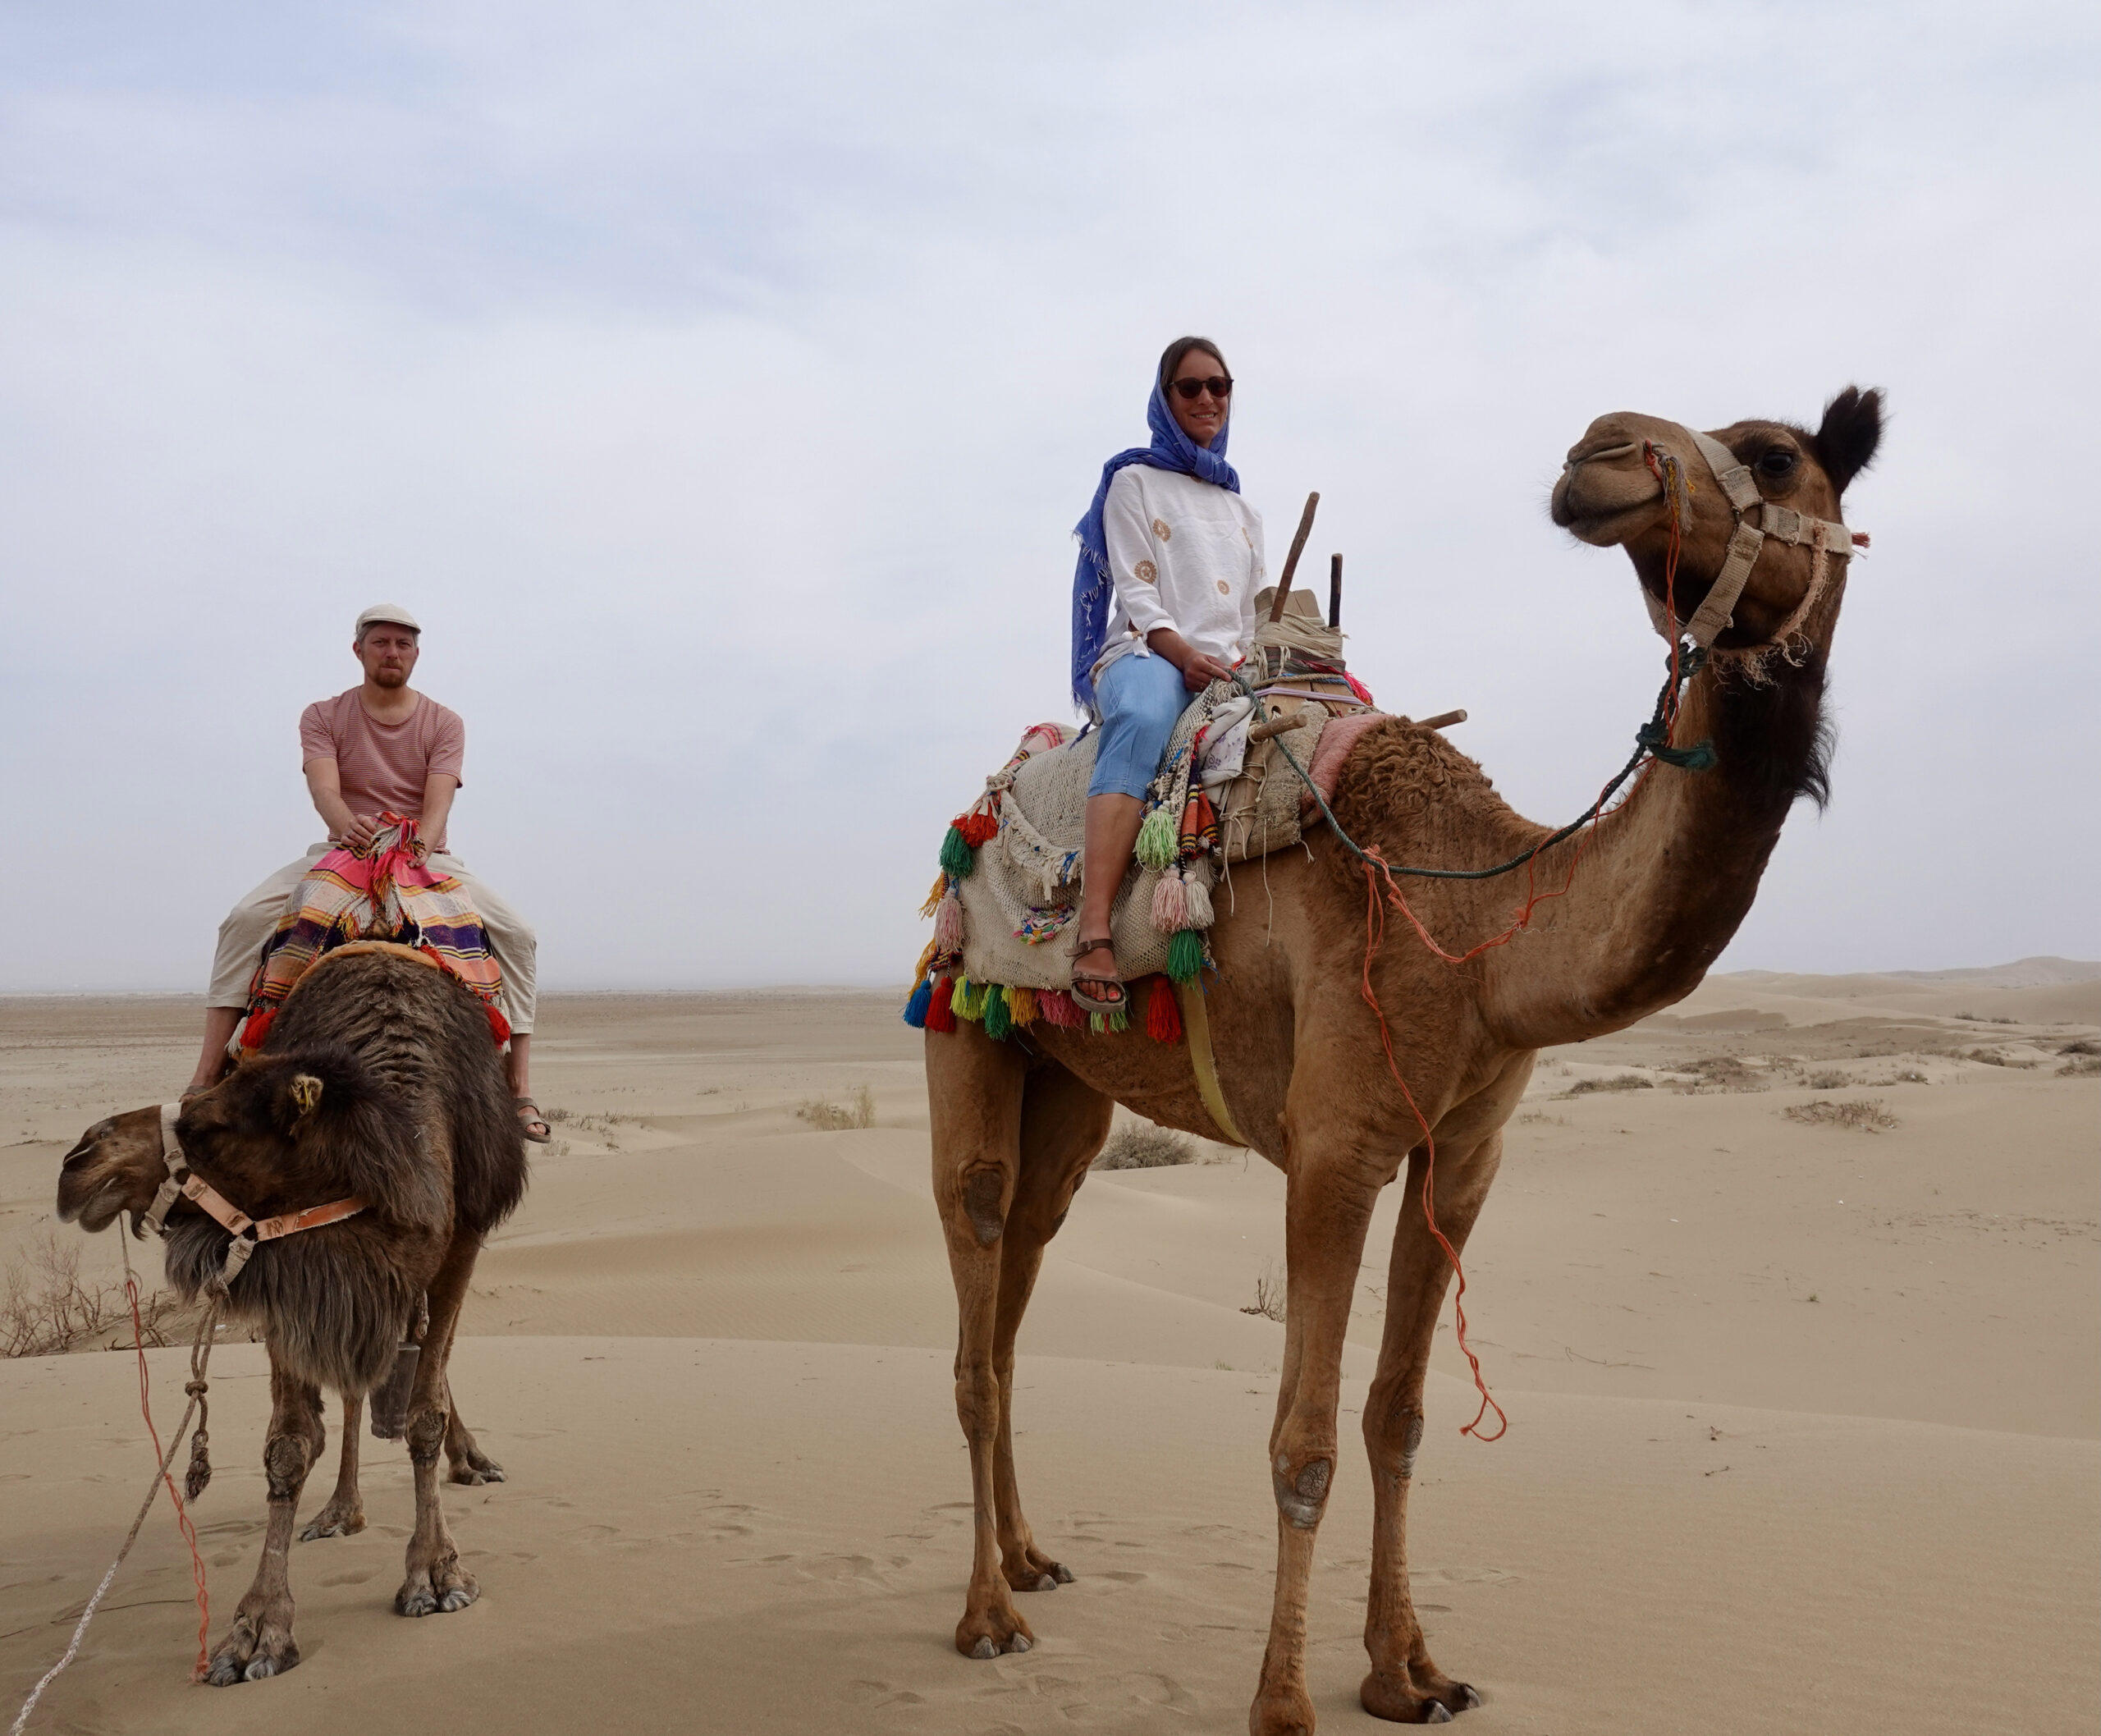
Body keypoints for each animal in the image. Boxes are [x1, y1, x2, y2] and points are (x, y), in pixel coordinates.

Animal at [57, 941, 525, 1681]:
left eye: (208, 1126)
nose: (79, 1161)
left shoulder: (461, 1236)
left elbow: (424, 1413)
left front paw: (437, 1574)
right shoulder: (283, 1266)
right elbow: (290, 1442)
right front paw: (258, 1629)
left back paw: (470, 1462)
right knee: (360, 1389)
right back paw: (340, 1509)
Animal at [928, 384, 1882, 1723]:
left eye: (1777, 456)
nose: (1598, 453)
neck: (1479, 928)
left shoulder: (1462, 1156)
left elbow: (1400, 1415)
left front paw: (1408, 1670)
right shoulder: (1334, 1148)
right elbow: (1306, 1439)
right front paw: (1283, 1703)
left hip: (1067, 1084)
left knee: (1019, 1284)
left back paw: (1029, 1557)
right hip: (963, 1019)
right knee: (975, 1293)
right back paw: (987, 1615)